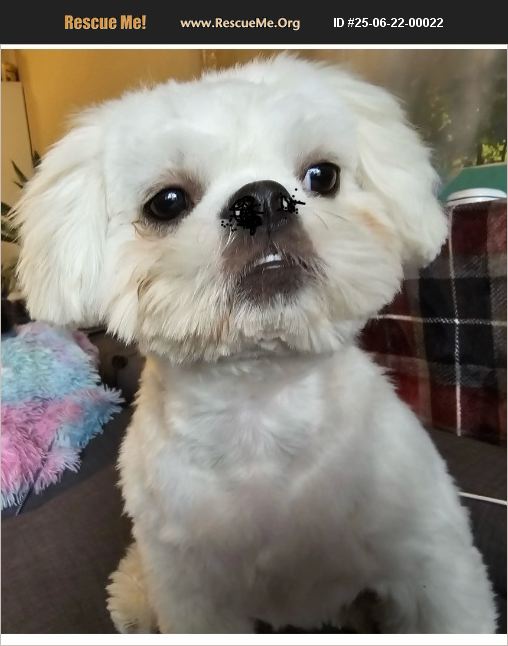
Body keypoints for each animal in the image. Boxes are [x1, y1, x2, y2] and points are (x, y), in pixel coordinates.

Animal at [14, 55, 496, 633]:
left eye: (322, 175)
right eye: (166, 202)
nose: (263, 200)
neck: (260, 407)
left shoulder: (432, 564)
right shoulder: (198, 602)